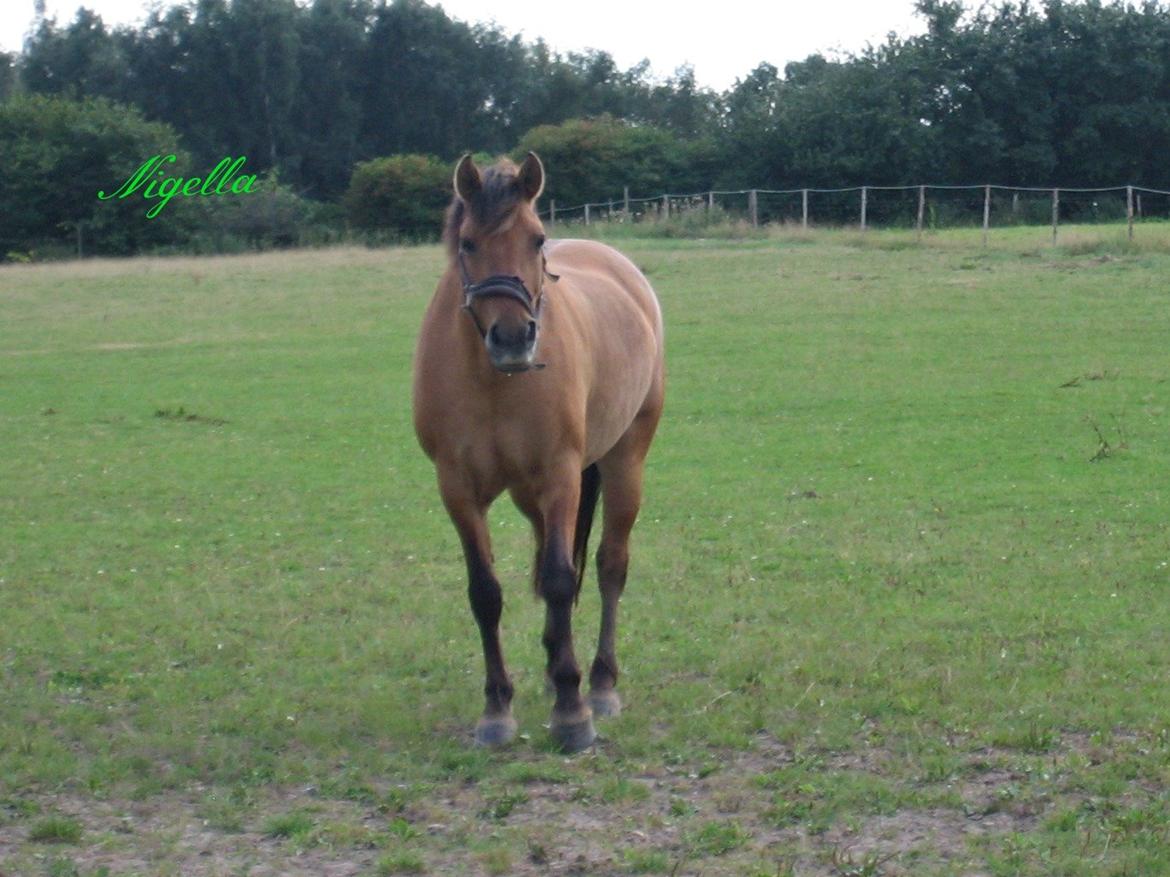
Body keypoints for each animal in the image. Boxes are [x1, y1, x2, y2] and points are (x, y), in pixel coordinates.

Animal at [416, 153, 664, 757]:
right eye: (468, 243)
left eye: (536, 239)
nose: (512, 337)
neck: (492, 380)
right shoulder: (458, 489)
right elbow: (486, 592)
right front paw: (497, 708)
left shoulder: (560, 478)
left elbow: (558, 578)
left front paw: (572, 712)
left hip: (624, 463)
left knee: (608, 565)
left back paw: (598, 684)